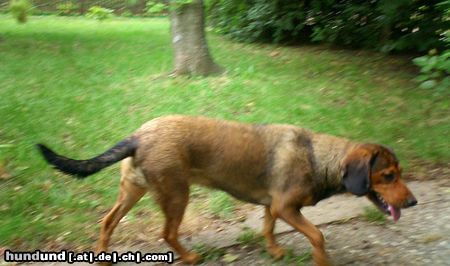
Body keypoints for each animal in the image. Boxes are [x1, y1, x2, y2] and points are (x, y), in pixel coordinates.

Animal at [37, 115, 416, 264]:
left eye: (399, 173)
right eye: (388, 176)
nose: (413, 202)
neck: (318, 155)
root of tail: (138, 136)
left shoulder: (272, 207)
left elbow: (268, 228)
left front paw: (274, 251)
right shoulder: (286, 208)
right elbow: (318, 236)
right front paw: (321, 260)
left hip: (132, 192)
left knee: (107, 222)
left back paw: (102, 255)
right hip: (176, 195)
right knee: (167, 233)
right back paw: (189, 257)